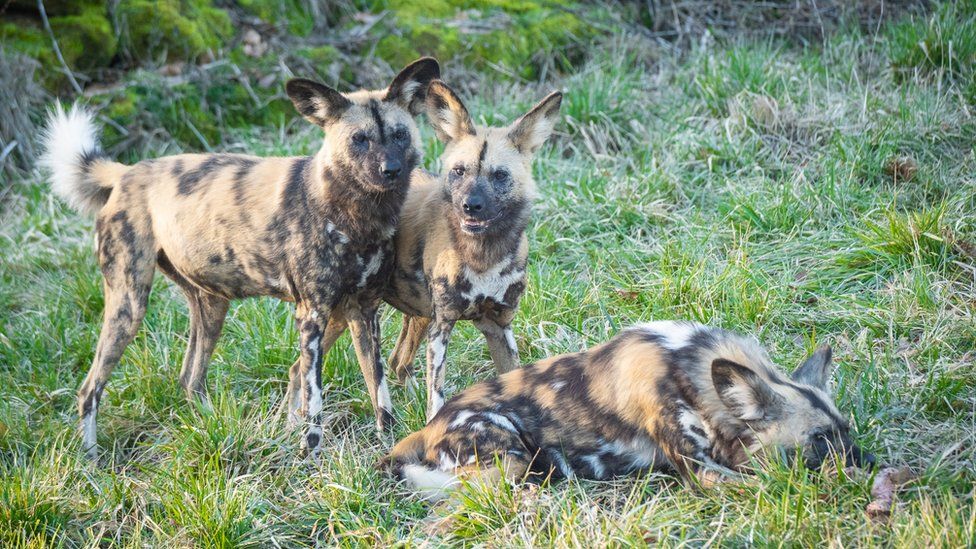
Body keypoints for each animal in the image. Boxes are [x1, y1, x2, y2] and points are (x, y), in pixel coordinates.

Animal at [40, 57, 440, 456]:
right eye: (359, 139)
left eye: (399, 135)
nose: (391, 170)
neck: (358, 215)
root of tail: (127, 172)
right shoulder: (312, 314)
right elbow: (314, 405)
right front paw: (310, 456)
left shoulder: (363, 310)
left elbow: (380, 393)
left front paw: (388, 446)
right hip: (129, 306)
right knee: (89, 389)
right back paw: (92, 460)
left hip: (212, 306)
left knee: (190, 378)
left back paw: (215, 432)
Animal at [282, 80, 564, 424]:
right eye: (459, 171)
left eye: (499, 175)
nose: (470, 205)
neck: (484, 257)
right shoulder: (442, 329)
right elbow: (437, 400)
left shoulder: (499, 326)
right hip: (340, 316)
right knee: (299, 370)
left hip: (415, 314)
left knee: (397, 361)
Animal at [382, 318, 876, 498]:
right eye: (820, 440)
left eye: (846, 430)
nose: (871, 463)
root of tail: (428, 426)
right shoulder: (703, 471)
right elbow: (776, 484)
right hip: (510, 460)